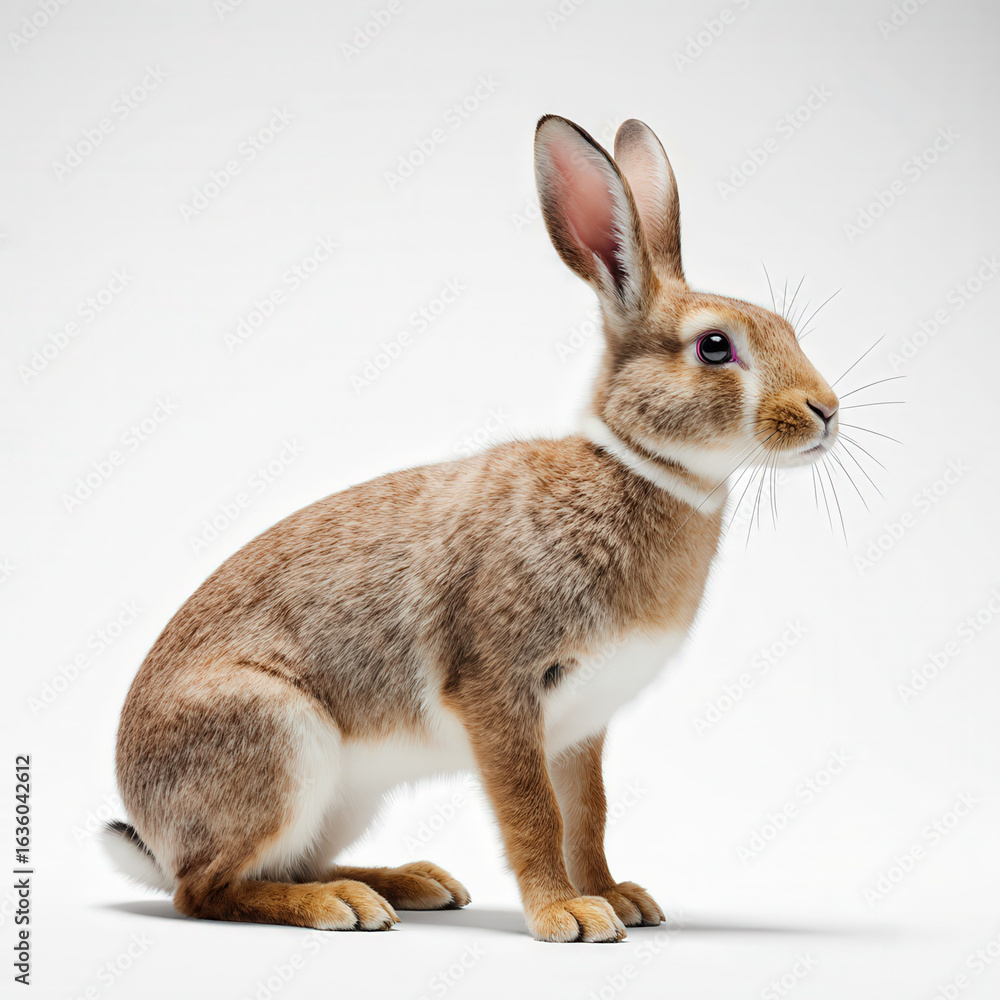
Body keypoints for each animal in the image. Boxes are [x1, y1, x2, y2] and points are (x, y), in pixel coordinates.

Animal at [103, 114, 839, 943]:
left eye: (784, 327)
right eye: (715, 346)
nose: (826, 410)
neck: (637, 467)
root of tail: (148, 826)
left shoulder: (579, 726)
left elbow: (589, 816)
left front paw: (617, 899)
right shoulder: (499, 688)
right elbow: (533, 814)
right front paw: (566, 916)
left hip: (338, 795)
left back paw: (406, 884)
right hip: (277, 741)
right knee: (205, 890)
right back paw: (340, 907)